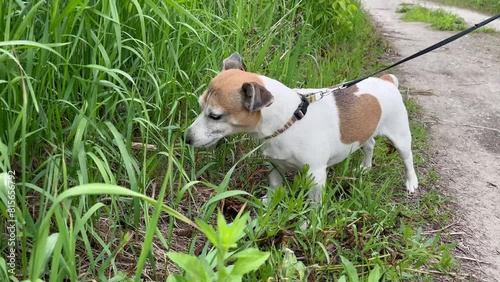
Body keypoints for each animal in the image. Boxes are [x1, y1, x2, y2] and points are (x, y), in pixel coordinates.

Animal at [185, 53, 418, 203]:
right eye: (199, 105)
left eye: (215, 116)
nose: (186, 138)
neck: (290, 119)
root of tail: (386, 80)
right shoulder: (275, 165)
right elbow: (274, 186)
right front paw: (268, 203)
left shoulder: (316, 176)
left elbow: (313, 205)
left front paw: (309, 226)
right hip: (366, 131)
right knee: (369, 144)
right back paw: (365, 167)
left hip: (400, 137)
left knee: (407, 159)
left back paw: (411, 182)